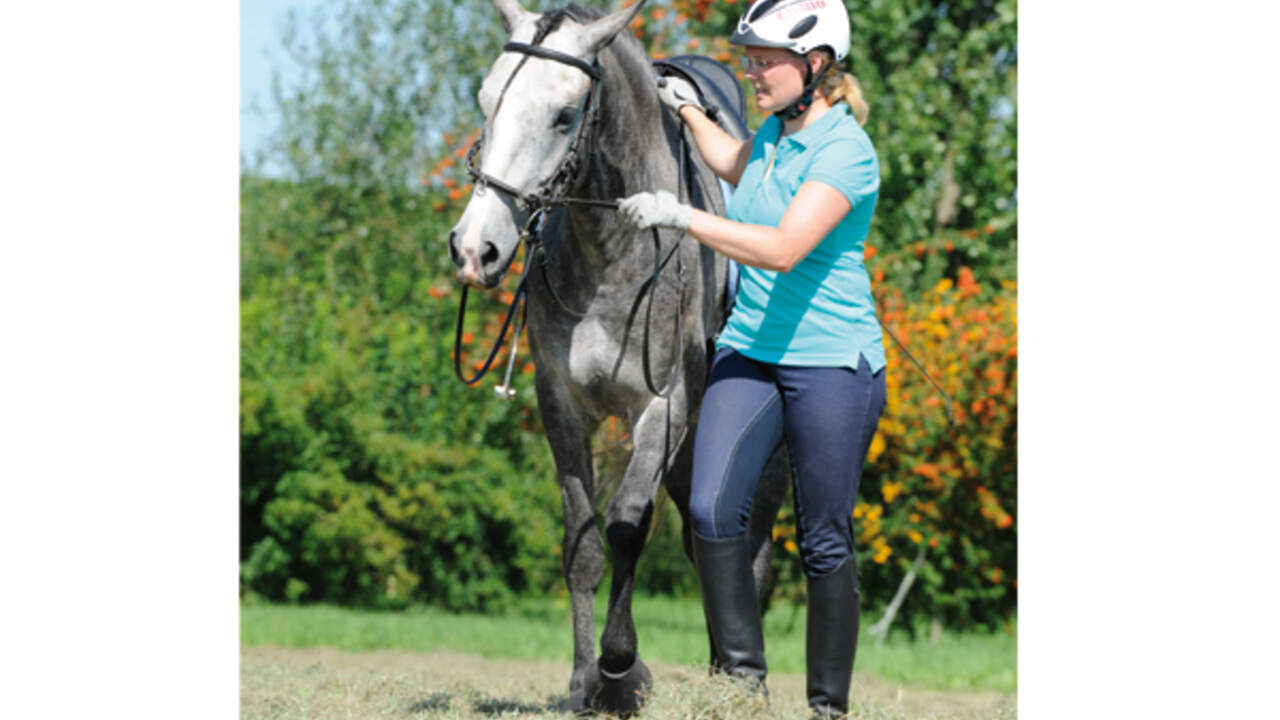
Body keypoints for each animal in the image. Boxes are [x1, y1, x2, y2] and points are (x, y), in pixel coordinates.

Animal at [447, 0, 788, 713]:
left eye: (563, 115)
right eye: (487, 100)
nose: (474, 248)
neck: (612, 252)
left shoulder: (662, 409)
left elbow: (629, 525)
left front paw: (621, 668)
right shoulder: (562, 407)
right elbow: (581, 541)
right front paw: (584, 681)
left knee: (751, 550)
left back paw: (741, 681)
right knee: (704, 541)